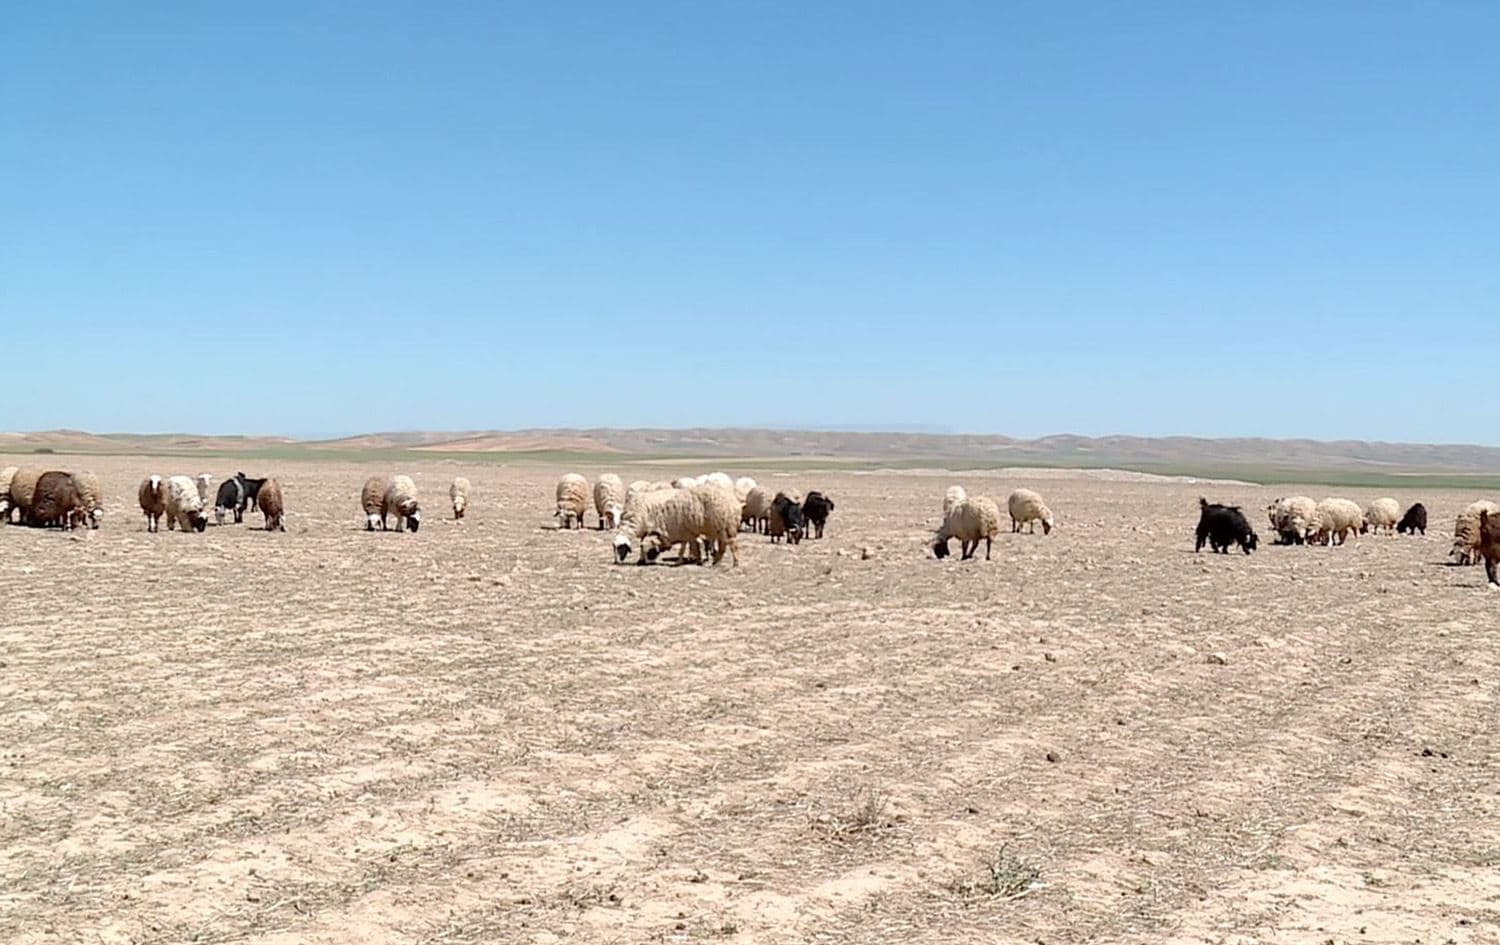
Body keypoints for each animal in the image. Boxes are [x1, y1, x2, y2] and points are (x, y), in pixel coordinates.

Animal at [612, 482, 741, 566]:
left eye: (621, 549)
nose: (617, 562)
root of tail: (734, 502)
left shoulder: (686, 532)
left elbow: (689, 547)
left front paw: (693, 560)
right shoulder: (684, 532)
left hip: (725, 527)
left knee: (732, 544)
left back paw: (734, 563)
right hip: (719, 529)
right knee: (723, 545)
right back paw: (716, 562)